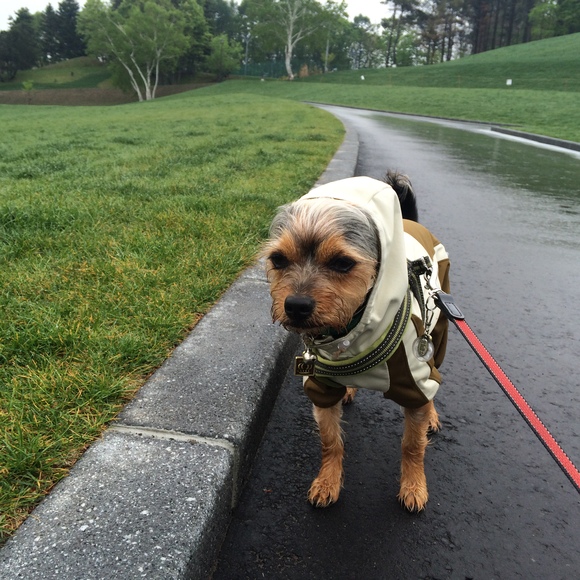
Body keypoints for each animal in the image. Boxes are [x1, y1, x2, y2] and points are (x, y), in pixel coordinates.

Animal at [266, 172, 450, 512]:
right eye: (278, 259)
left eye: (342, 263)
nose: (295, 305)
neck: (350, 335)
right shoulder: (321, 386)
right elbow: (330, 440)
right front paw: (327, 481)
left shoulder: (414, 380)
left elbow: (412, 443)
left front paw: (414, 486)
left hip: (439, 330)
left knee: (436, 372)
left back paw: (431, 414)